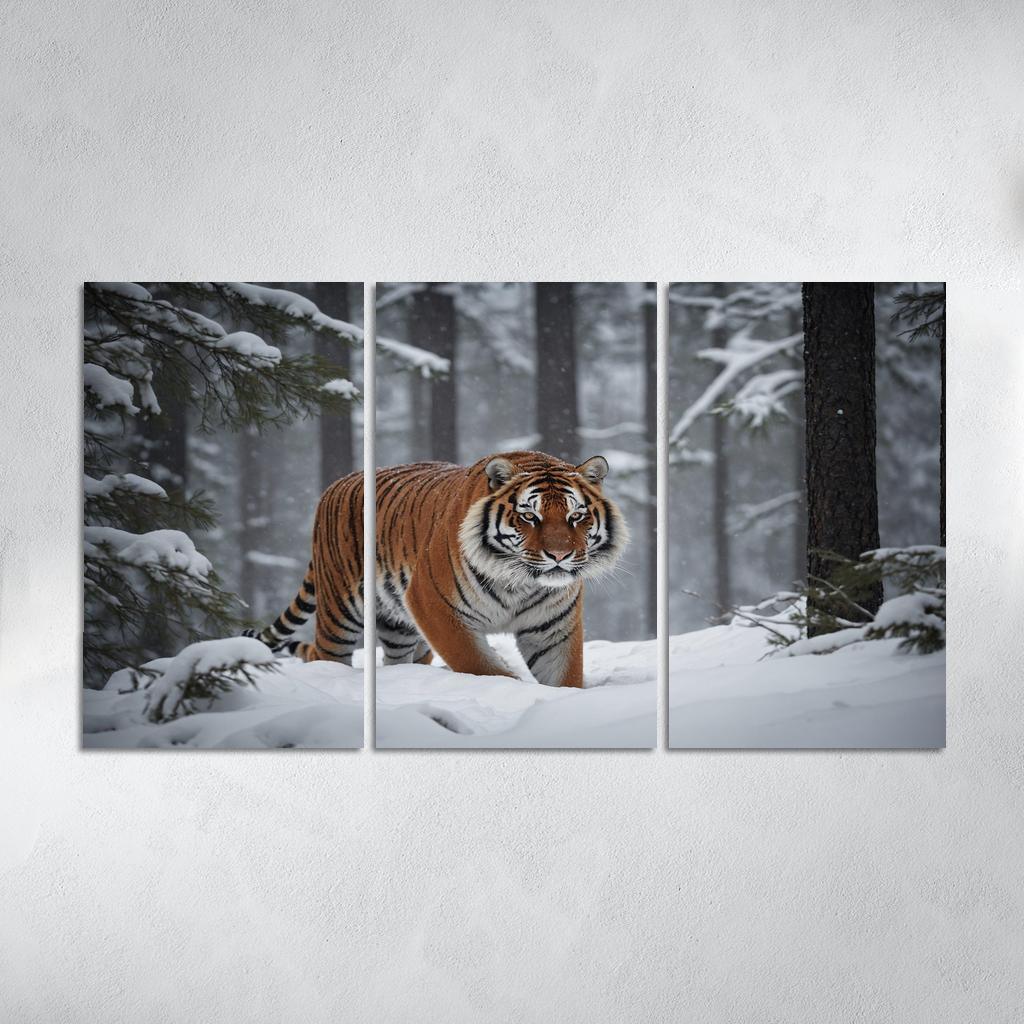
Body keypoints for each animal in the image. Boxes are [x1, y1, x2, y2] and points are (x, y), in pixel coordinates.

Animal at [245, 450, 628, 688]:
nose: (560, 555)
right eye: (529, 516)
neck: (521, 583)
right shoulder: (435, 605)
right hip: (339, 615)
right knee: (326, 655)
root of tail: (335, 485)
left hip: (400, 627)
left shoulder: (553, 629)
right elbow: (481, 667)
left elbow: (565, 677)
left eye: (576, 516)